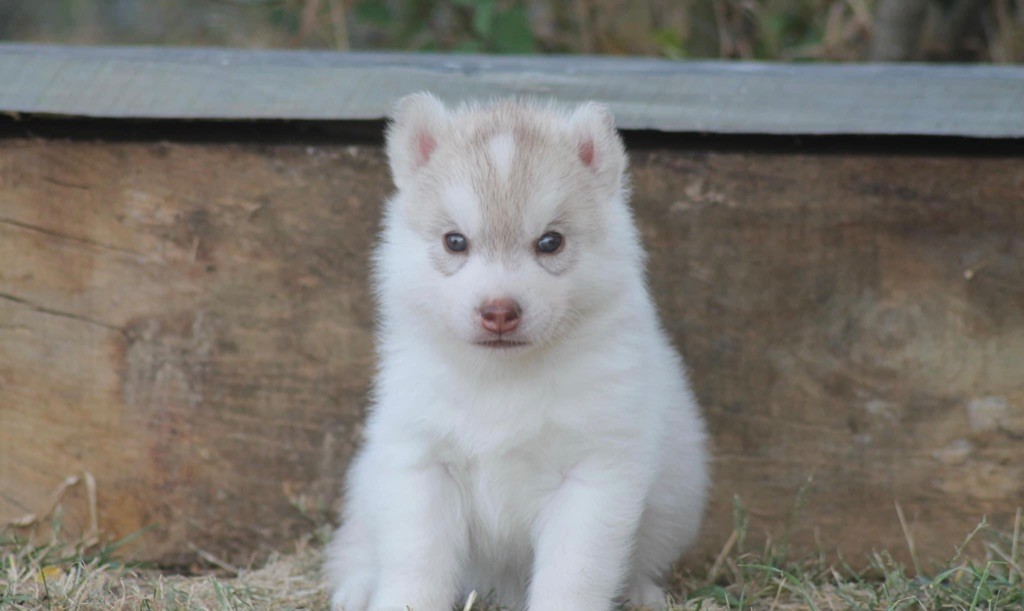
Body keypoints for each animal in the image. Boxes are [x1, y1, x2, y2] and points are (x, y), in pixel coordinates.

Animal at [323, 94, 708, 609]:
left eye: (550, 242)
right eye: (455, 241)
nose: (499, 311)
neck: (502, 379)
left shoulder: (593, 477)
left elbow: (572, 576)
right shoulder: (420, 463)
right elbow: (416, 564)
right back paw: (357, 586)